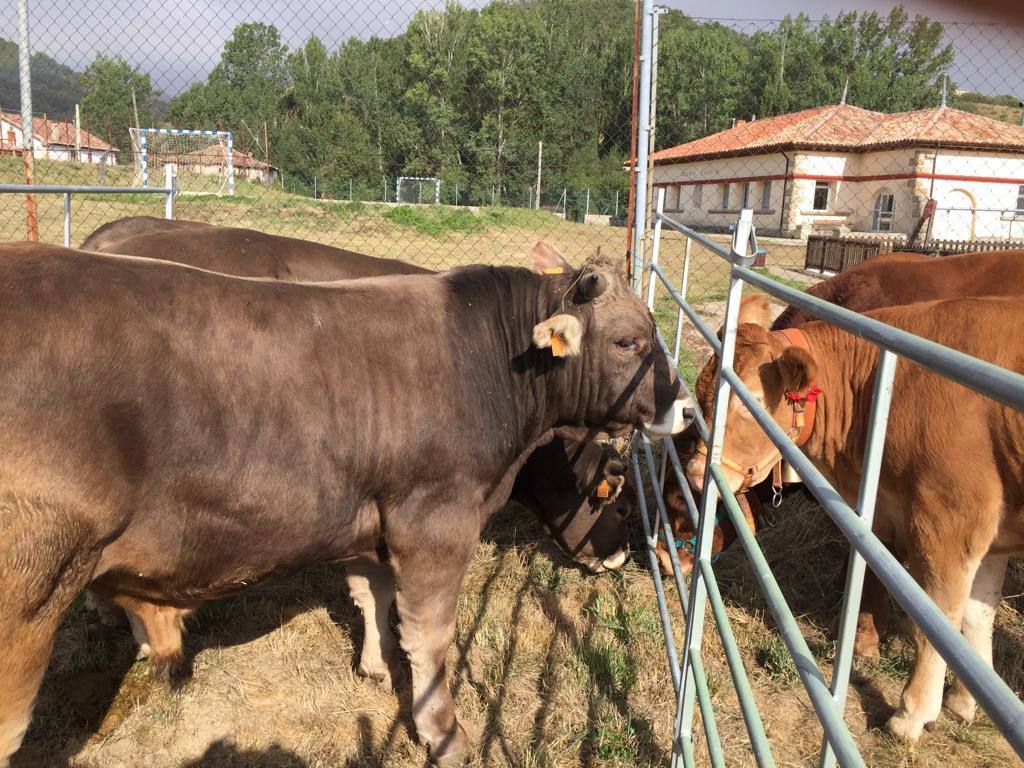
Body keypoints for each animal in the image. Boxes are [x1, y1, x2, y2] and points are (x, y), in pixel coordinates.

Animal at [679, 294, 1024, 745]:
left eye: (748, 401)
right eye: (703, 397)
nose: (695, 474)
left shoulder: (951, 522)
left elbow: (940, 621)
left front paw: (912, 714)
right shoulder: (989, 536)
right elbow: (977, 616)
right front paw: (966, 701)